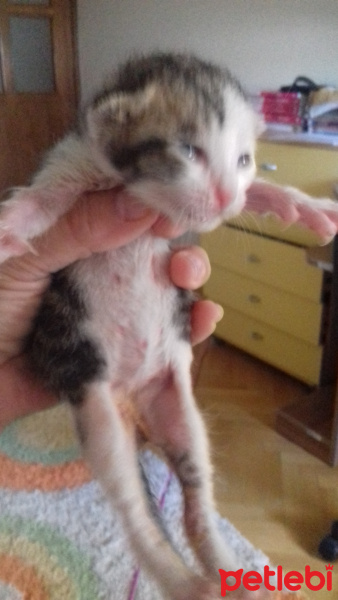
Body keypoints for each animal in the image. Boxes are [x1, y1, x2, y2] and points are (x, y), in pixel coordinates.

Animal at [0, 54, 336, 596]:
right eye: (188, 150)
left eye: (243, 160)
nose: (222, 197)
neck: (137, 193)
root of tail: (131, 391)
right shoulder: (70, 164)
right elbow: (43, 202)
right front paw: (10, 225)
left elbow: (255, 196)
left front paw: (299, 205)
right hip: (95, 405)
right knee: (135, 517)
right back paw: (185, 582)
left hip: (177, 404)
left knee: (195, 494)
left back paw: (227, 570)